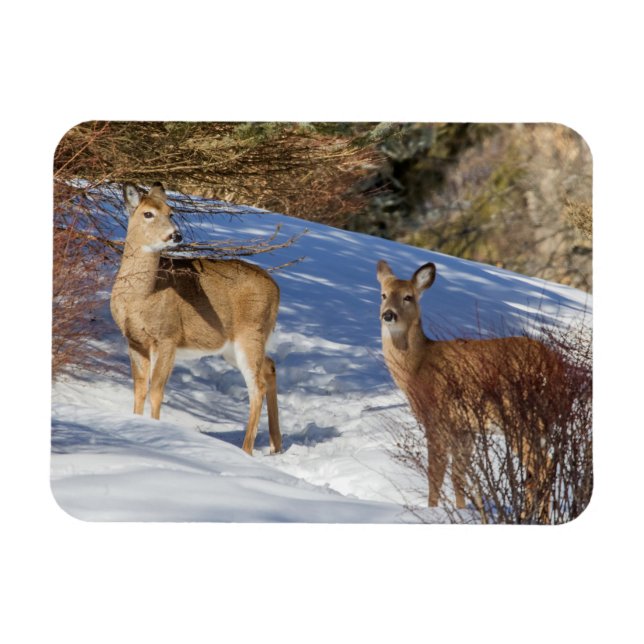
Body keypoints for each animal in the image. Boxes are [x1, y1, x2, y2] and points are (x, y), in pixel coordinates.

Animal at [110, 182, 282, 456]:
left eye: (170, 212)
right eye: (148, 213)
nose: (176, 235)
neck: (142, 296)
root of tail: (276, 289)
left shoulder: (168, 336)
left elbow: (156, 390)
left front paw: (157, 430)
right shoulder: (135, 340)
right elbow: (139, 388)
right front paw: (136, 425)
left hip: (250, 334)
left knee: (257, 387)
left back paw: (246, 450)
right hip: (234, 346)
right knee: (270, 366)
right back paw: (276, 445)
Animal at [377, 260, 561, 521]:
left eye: (408, 297)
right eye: (383, 294)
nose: (388, 315)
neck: (416, 369)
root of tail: (553, 366)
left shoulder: (437, 419)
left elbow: (435, 476)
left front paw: (433, 512)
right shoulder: (465, 429)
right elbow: (458, 476)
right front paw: (463, 512)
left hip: (521, 417)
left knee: (542, 466)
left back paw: (529, 518)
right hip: (540, 423)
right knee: (542, 468)